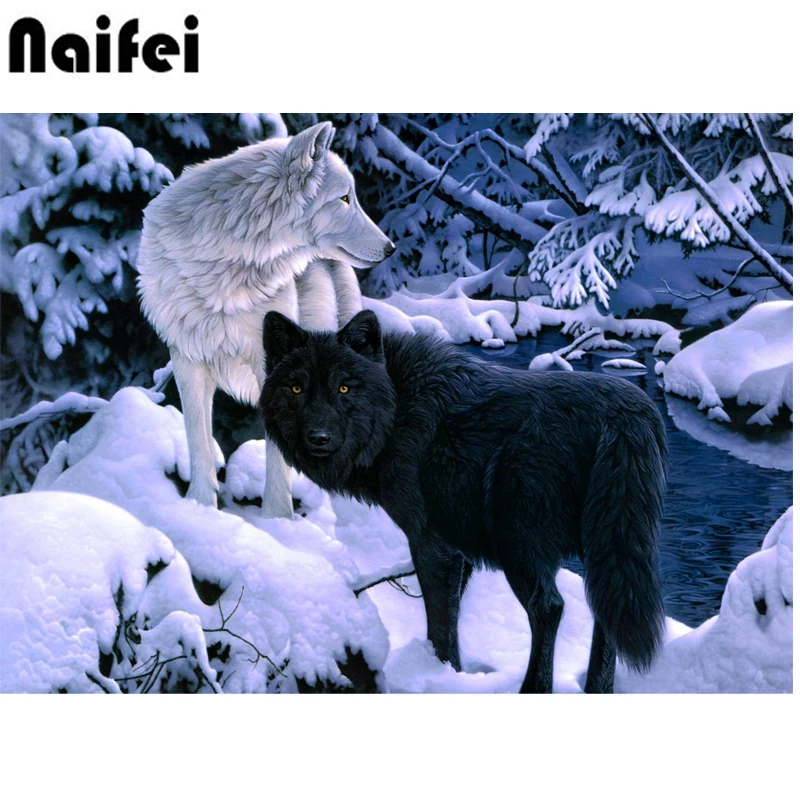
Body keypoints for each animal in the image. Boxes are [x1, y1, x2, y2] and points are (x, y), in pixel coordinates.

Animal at [137, 122, 394, 517]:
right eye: (344, 198)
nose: (390, 247)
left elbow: (278, 455)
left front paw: (277, 519)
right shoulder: (186, 359)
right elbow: (198, 440)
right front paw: (199, 509)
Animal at [260, 310, 668, 693]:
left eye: (344, 388)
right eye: (296, 388)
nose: (319, 438)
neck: (397, 410)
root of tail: (625, 413)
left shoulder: (430, 543)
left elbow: (440, 626)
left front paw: (438, 677)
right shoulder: (459, 550)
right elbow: (452, 619)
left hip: (519, 544)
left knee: (549, 607)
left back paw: (532, 689)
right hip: (605, 547)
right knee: (605, 611)